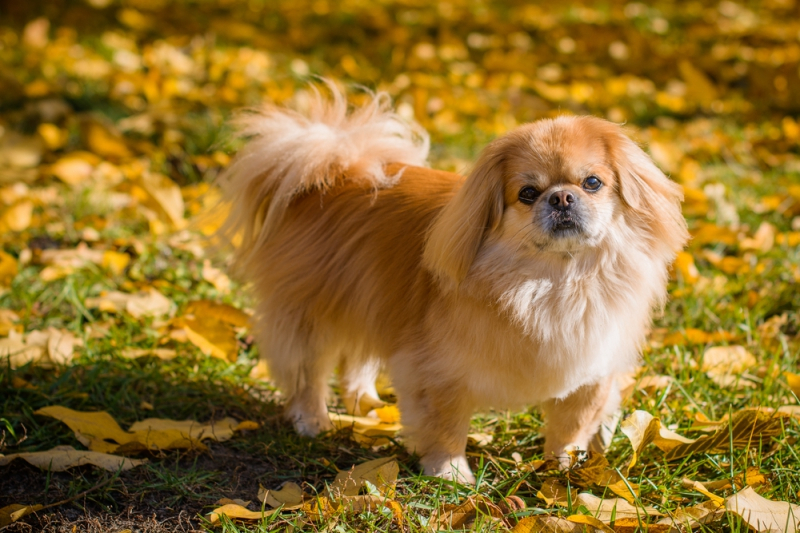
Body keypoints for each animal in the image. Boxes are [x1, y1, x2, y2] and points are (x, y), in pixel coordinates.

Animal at [219, 83, 688, 482]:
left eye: (592, 183)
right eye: (528, 193)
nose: (561, 197)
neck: (554, 282)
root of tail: (339, 171)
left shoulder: (591, 371)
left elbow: (570, 427)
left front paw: (562, 469)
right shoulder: (437, 372)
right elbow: (445, 426)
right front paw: (450, 473)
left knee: (356, 359)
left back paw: (365, 403)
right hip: (312, 314)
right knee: (308, 371)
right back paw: (313, 421)